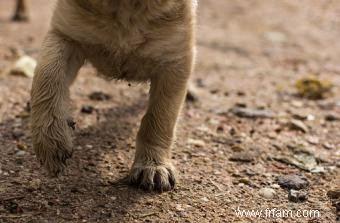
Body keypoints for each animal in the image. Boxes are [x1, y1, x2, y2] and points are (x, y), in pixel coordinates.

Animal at [30, 0, 198, 192]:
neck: (125, 8)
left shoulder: (175, 57)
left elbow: (161, 116)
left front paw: (153, 166)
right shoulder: (65, 33)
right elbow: (47, 75)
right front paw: (52, 142)